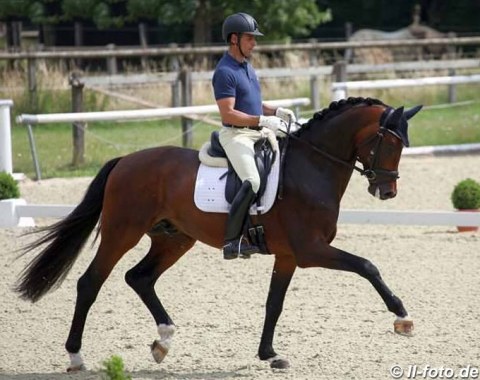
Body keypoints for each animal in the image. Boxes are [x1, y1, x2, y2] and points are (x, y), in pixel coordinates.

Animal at [14, 97, 420, 372]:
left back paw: (163, 341)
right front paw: (401, 317)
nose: (387, 191)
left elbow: (274, 304)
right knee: (91, 283)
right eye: (390, 142)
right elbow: (367, 266)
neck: (311, 167)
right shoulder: (310, 250)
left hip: (174, 239)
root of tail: (125, 161)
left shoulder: (289, 255)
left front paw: (269, 355)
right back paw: (76, 356)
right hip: (122, 232)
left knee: (139, 277)